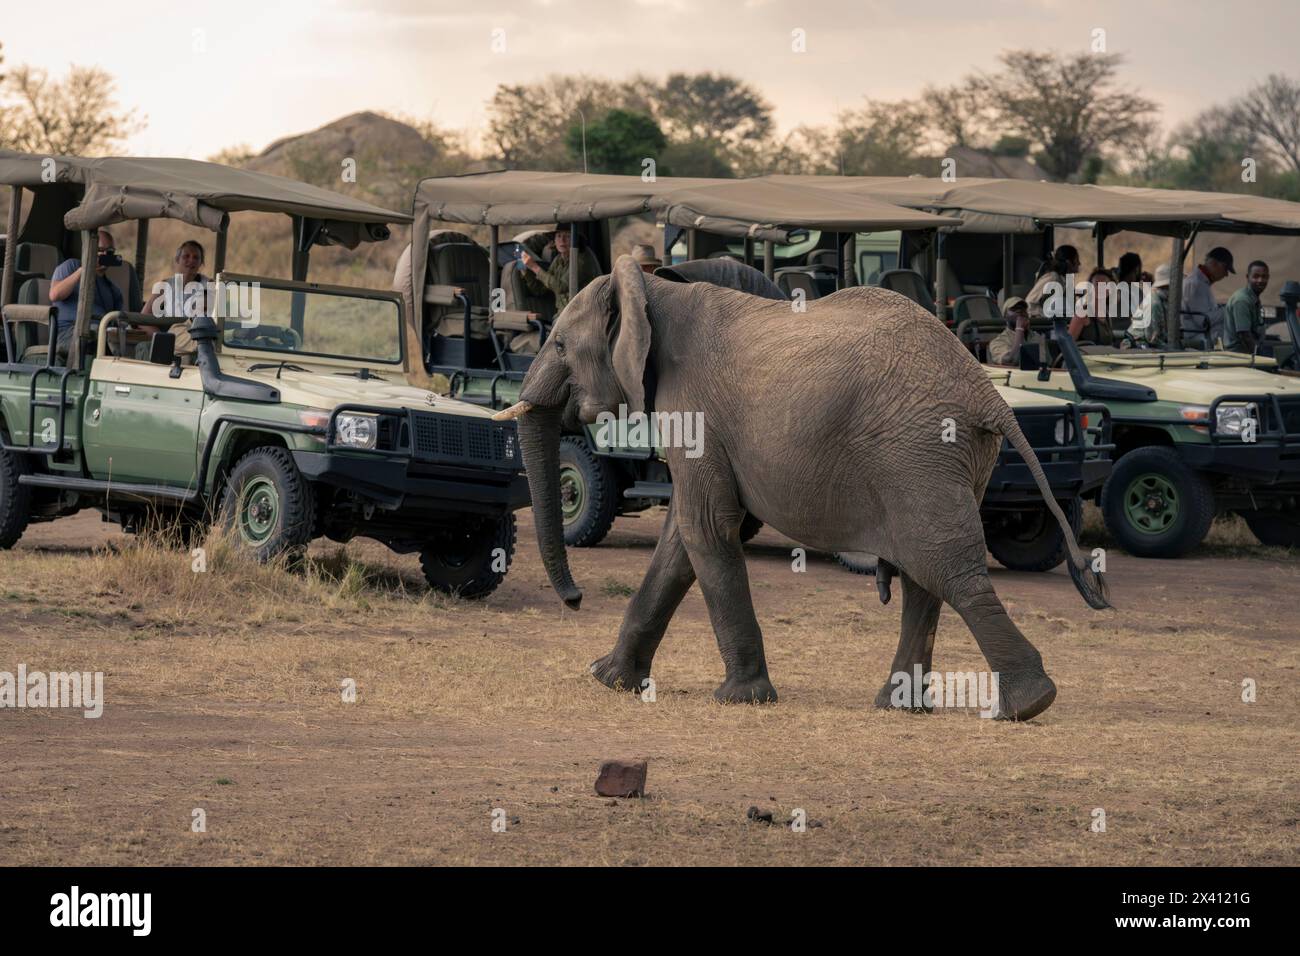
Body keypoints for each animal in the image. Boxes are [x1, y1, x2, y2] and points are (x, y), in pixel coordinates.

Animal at [496, 257, 1107, 723]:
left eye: (557, 343)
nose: (575, 600)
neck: (655, 289)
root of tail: (990, 395)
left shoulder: (693, 407)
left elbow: (705, 527)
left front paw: (740, 699)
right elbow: (682, 539)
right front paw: (607, 679)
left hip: (917, 452)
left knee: (946, 569)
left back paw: (1027, 704)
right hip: (946, 460)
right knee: (924, 577)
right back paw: (899, 706)